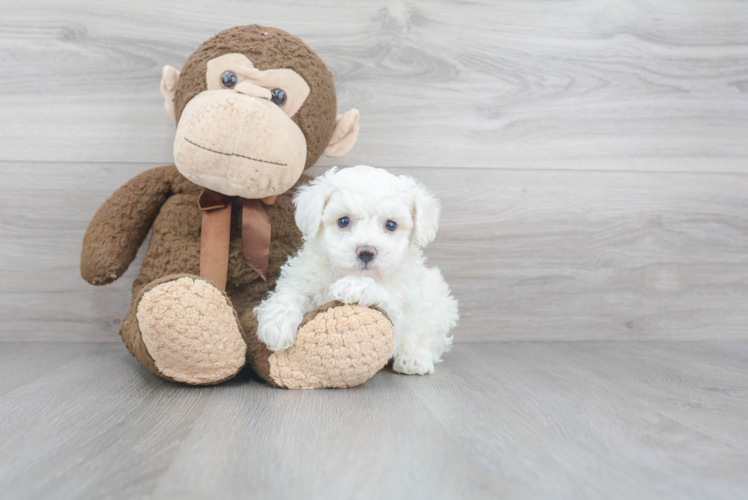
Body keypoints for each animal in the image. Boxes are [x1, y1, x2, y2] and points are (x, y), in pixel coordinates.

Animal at [254, 166, 458, 374]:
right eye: (343, 221)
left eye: (391, 225)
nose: (366, 252)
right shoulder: (303, 276)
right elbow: (291, 294)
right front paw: (276, 324)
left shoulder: (398, 311)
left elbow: (384, 296)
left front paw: (353, 285)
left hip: (438, 304)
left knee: (428, 340)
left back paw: (414, 359)